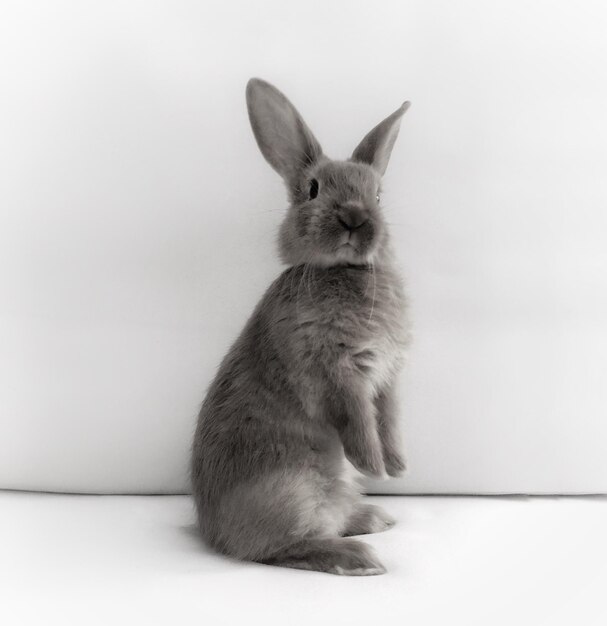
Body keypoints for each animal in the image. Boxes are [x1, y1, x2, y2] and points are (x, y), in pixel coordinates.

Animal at [194, 79, 414, 576]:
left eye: (378, 194)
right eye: (313, 189)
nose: (355, 217)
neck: (346, 271)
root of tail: (213, 532)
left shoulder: (387, 376)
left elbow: (389, 419)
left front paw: (396, 467)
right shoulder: (333, 371)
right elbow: (358, 420)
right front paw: (373, 465)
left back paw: (373, 517)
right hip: (294, 489)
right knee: (283, 547)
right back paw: (358, 557)